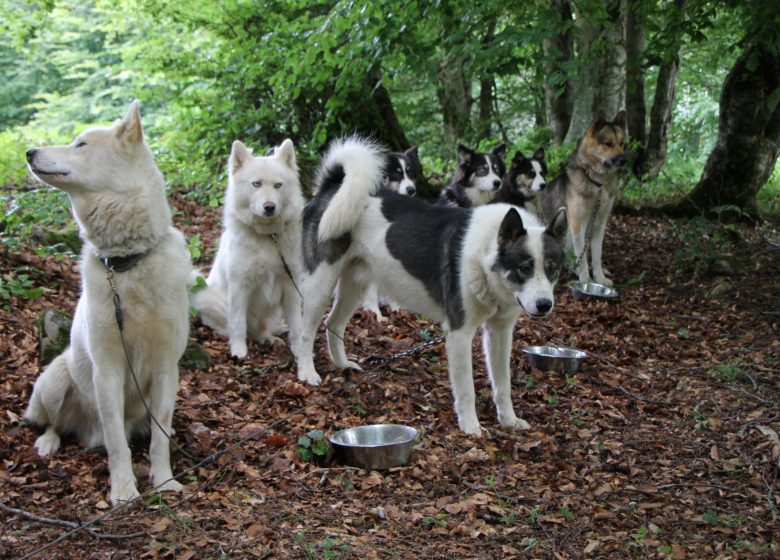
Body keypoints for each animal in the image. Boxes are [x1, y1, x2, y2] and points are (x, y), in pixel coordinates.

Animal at [25, 100, 190, 508]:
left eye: (81, 144)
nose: (29, 152)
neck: (125, 263)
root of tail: (87, 432)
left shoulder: (167, 370)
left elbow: (160, 438)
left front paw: (164, 482)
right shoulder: (108, 371)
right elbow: (117, 442)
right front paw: (124, 491)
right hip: (54, 380)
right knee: (53, 422)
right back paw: (48, 442)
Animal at [192, 139, 304, 358]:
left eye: (278, 185)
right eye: (256, 184)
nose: (269, 207)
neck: (267, 237)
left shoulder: (290, 285)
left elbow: (296, 324)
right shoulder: (239, 287)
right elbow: (237, 324)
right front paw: (238, 350)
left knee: (263, 329)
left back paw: (272, 336)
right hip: (210, 298)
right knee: (243, 329)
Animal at [298, 138, 568, 436]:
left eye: (552, 268)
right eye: (524, 268)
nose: (545, 305)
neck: (486, 254)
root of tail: (332, 187)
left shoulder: (500, 332)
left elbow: (503, 384)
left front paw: (509, 420)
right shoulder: (459, 334)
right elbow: (467, 389)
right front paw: (471, 427)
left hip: (355, 285)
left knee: (333, 323)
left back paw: (342, 364)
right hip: (321, 283)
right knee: (306, 331)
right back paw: (307, 372)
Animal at [544, 111, 628, 286]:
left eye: (622, 143)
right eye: (608, 144)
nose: (624, 160)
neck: (597, 184)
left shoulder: (600, 223)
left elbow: (596, 255)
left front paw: (599, 277)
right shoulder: (577, 224)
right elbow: (581, 258)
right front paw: (585, 280)